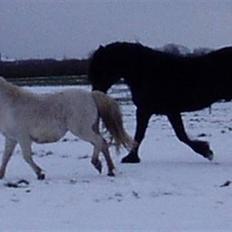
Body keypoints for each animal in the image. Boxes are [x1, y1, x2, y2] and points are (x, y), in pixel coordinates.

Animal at [0, 77, 134, 179]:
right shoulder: (11, 138)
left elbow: (26, 156)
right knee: (103, 144)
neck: (10, 105)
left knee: (99, 141)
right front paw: (1, 175)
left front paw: (40, 174)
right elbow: (6, 157)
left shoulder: (23, 137)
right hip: (91, 128)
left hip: (82, 130)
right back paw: (110, 170)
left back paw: (97, 163)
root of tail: (91, 95)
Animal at [87, 42, 232, 164]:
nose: (94, 94)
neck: (145, 72)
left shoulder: (149, 110)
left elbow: (142, 134)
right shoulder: (166, 111)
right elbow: (180, 135)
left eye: (100, 68)